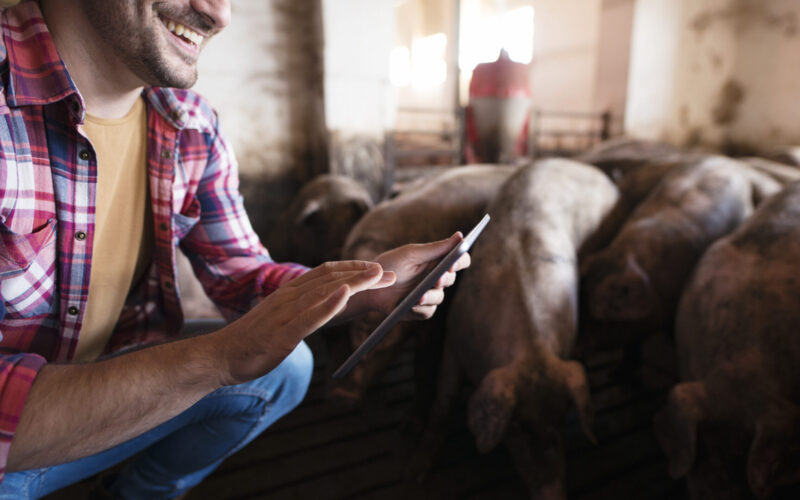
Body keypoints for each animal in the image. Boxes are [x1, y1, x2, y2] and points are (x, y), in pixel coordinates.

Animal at [412, 160, 620, 500]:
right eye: (517, 426)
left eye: (561, 418)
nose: (553, 493)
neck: (530, 352)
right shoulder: (455, 340)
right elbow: (443, 400)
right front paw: (416, 473)